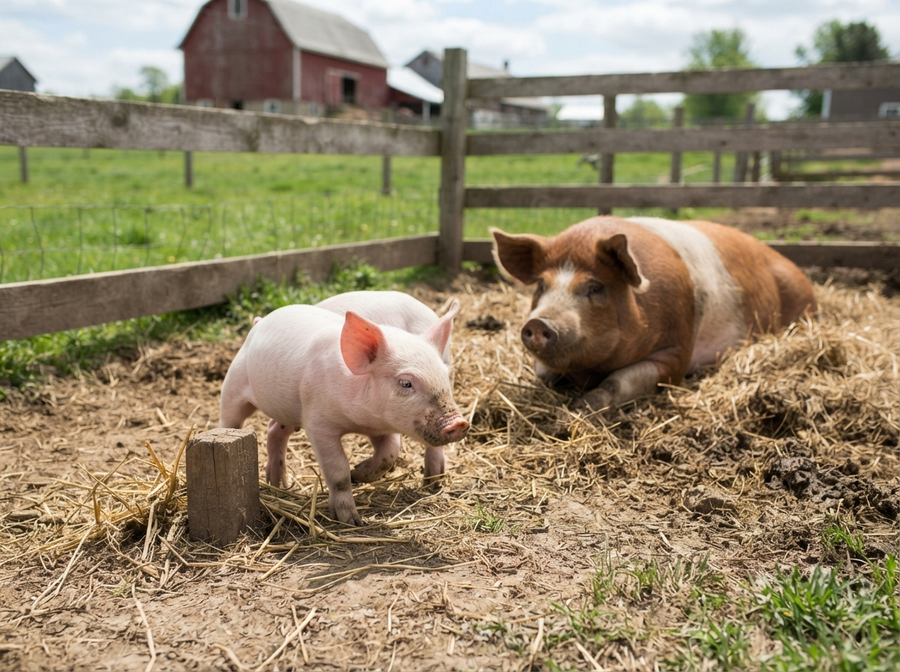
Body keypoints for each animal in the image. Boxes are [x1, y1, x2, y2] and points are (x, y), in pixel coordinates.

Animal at [219, 302, 469, 525]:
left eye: (445, 376)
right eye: (406, 383)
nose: (459, 423)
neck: (359, 423)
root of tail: (259, 321)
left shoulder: (380, 426)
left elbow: (389, 454)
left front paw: (358, 474)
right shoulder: (317, 422)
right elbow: (338, 471)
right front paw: (351, 521)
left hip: (287, 408)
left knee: (275, 430)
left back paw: (279, 484)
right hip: (234, 384)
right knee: (230, 418)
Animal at [492, 216, 817, 412]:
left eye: (595, 288)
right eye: (541, 285)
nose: (538, 323)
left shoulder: (676, 352)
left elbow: (618, 381)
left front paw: (584, 406)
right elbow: (544, 373)